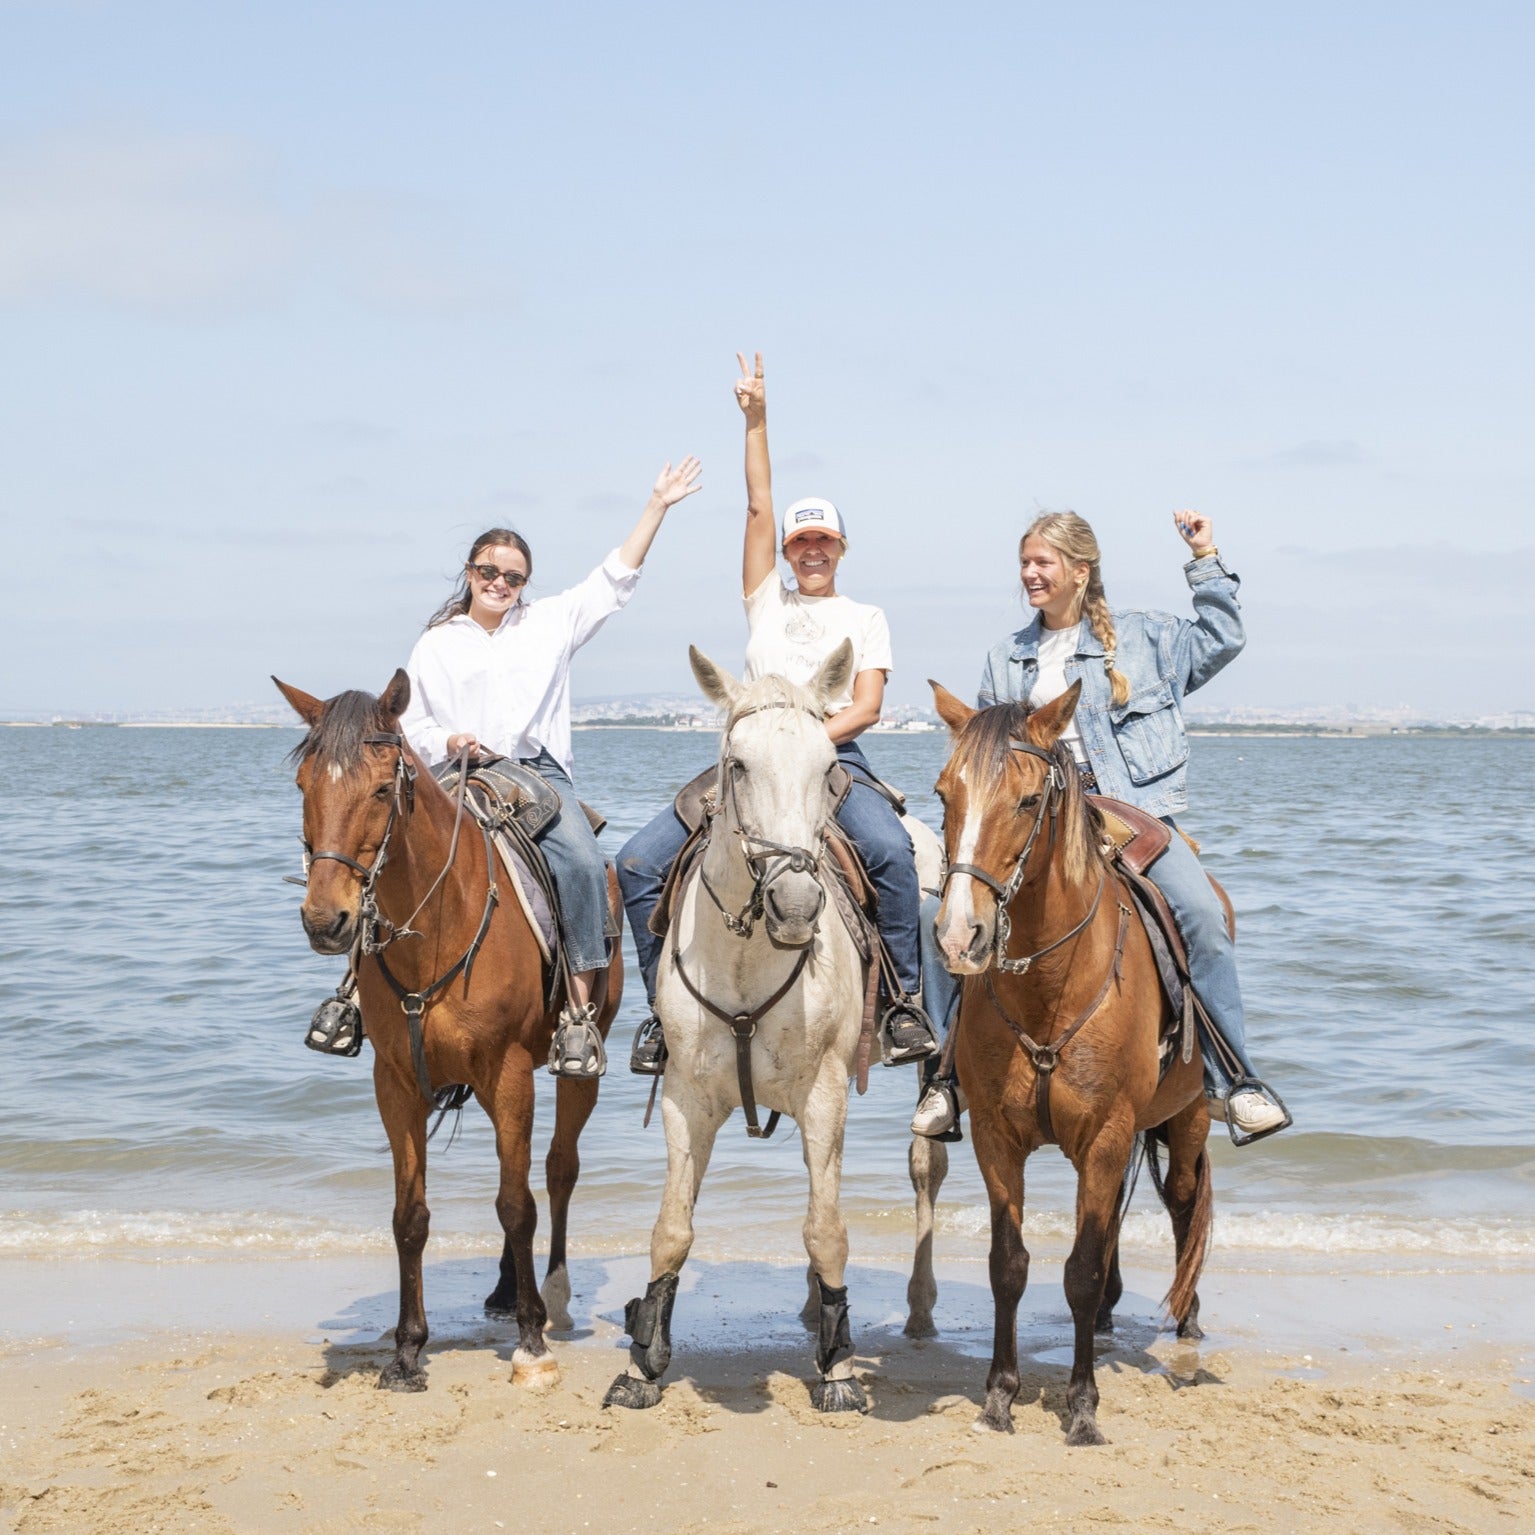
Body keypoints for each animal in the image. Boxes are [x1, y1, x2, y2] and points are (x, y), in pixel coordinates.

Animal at [275, 670, 621, 1393]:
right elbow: (410, 1217)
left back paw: (551, 1296)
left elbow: (517, 1204)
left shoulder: (509, 1073)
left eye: (383, 788)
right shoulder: (396, 1082)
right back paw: (505, 1290)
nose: (325, 920)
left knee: (556, 1170)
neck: (441, 921)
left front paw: (530, 1343)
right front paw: (407, 1351)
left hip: (574, 1068)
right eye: (303, 784)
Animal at [604, 641, 949, 1414]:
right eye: (736, 764)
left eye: (826, 769)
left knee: (925, 1164)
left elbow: (827, 1229)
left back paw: (913, 1309)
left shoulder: (825, 1094)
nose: (797, 904)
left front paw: (839, 1368)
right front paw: (643, 1365)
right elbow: (671, 1229)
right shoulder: (685, 1099)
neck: (746, 953)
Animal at [929, 679, 1213, 1445]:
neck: (1048, 990)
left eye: (1028, 800)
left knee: (1183, 1205)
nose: (959, 935)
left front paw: (1083, 1406)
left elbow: (1079, 1269)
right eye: (944, 793)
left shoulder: (1107, 1134)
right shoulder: (997, 1138)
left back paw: (1188, 1322)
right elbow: (1009, 1265)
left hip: (1187, 1119)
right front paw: (999, 1394)